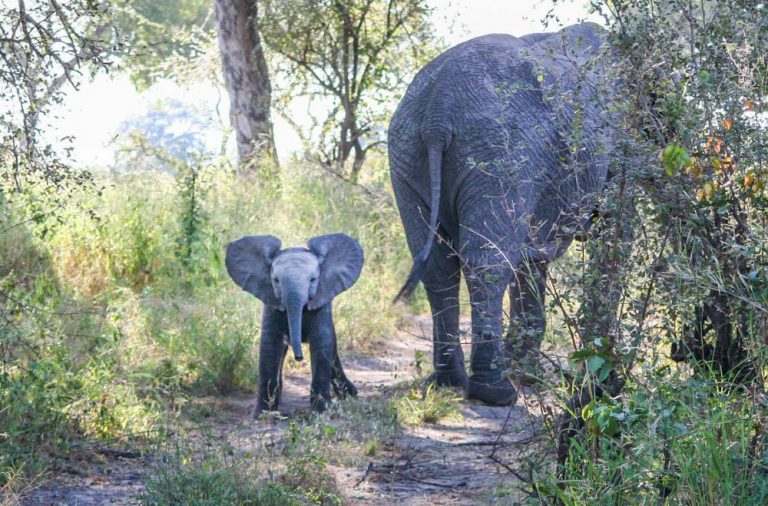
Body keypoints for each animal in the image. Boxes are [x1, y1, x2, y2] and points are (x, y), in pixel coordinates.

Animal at [224, 233, 364, 416]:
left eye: (313, 280)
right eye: (276, 280)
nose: (298, 357)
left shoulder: (321, 301)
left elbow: (322, 341)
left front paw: (320, 412)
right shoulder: (271, 301)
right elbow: (271, 344)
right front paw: (263, 413)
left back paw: (349, 394)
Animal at [390, 22, 616, 408]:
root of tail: (437, 111)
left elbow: (531, 257)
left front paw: (529, 372)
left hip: (409, 154)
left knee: (437, 264)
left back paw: (449, 381)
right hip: (499, 151)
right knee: (488, 260)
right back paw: (494, 392)